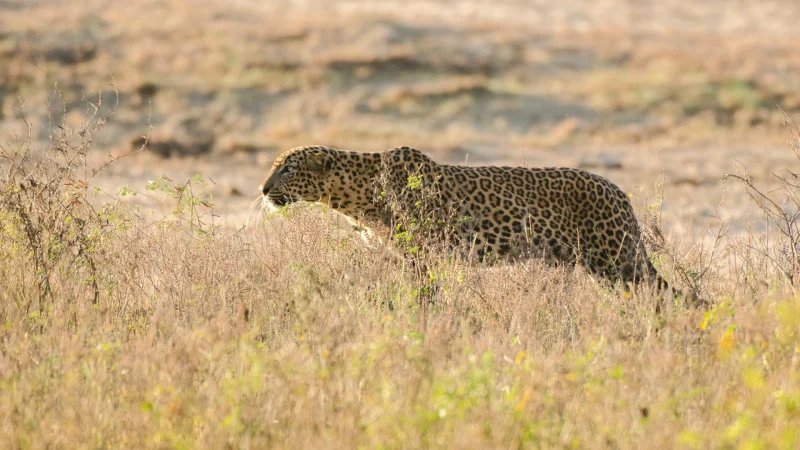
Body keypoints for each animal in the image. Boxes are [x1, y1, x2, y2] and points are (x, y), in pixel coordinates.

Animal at [259, 145, 670, 292]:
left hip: (616, 261)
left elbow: (424, 291)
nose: (262, 189)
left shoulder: (423, 253)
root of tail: (619, 193)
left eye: (287, 169)